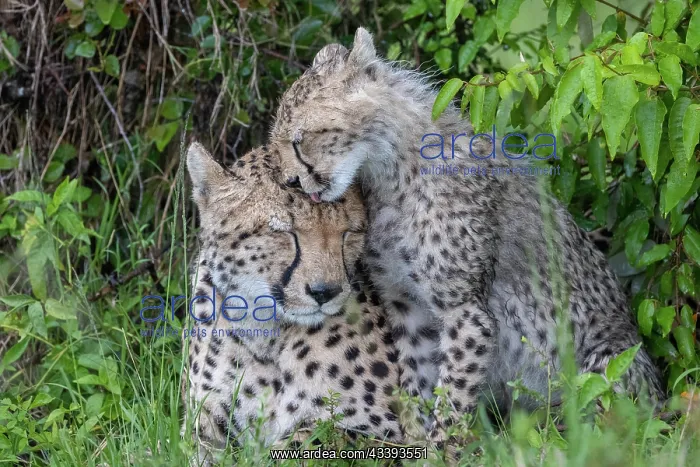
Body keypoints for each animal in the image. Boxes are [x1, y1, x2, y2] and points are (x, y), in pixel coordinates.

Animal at [181, 141, 407, 461]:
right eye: (284, 232)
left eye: (349, 233)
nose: (325, 292)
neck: (266, 335)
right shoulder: (205, 426)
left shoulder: (386, 432)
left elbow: (299, 445)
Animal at [269, 27, 665, 436]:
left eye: (299, 141)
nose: (291, 181)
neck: (389, 172)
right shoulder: (407, 305)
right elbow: (417, 386)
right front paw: (418, 441)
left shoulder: (465, 312)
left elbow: (453, 401)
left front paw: (443, 443)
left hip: (606, 374)